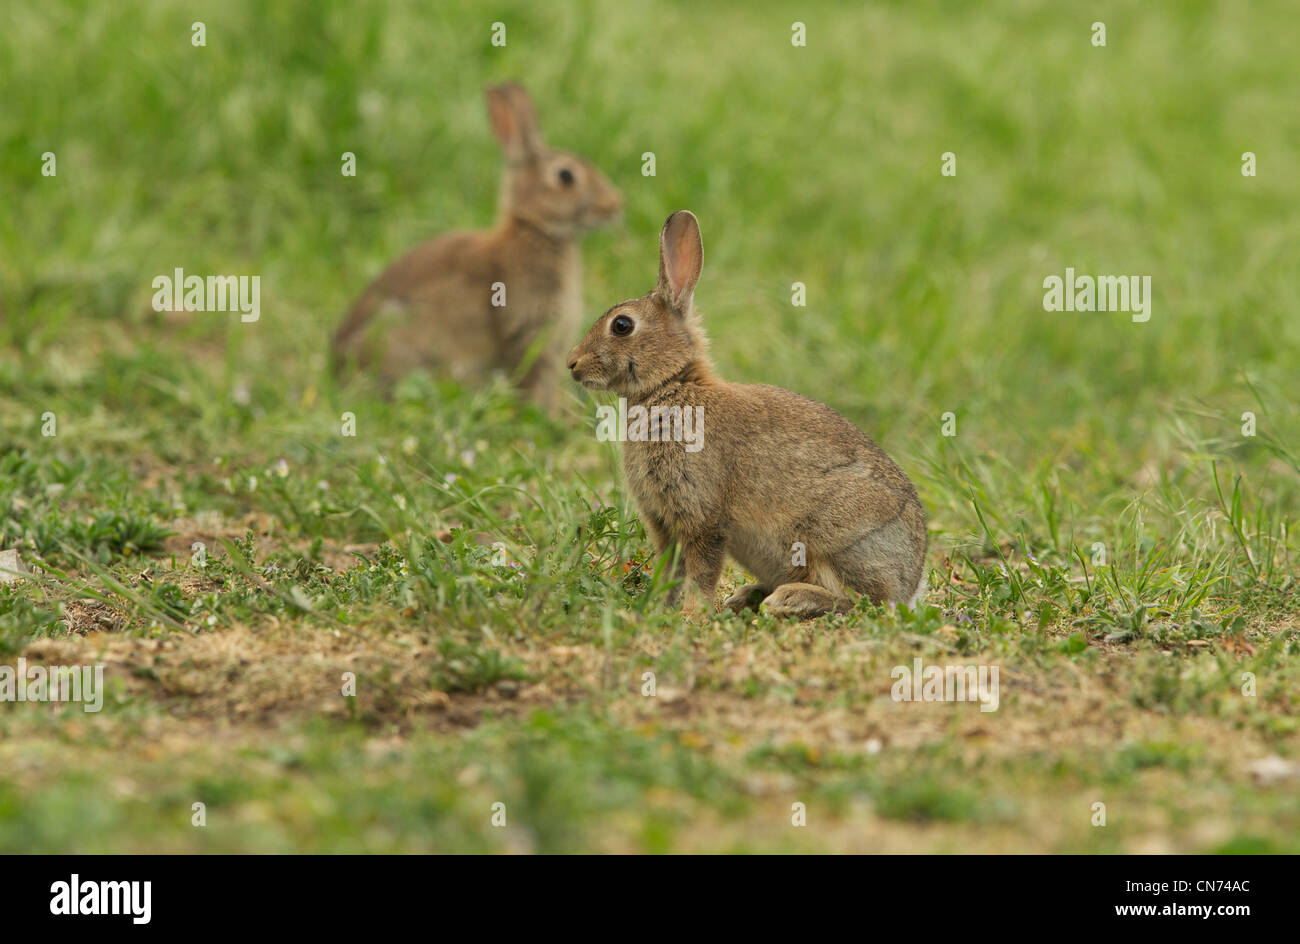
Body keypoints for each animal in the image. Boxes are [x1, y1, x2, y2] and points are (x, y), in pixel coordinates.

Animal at [569, 210, 925, 616]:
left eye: (622, 325)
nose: (572, 364)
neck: (671, 387)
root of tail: (912, 580)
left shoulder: (703, 516)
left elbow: (701, 570)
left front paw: (692, 614)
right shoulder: (662, 520)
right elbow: (669, 568)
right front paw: (657, 606)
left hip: (835, 539)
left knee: (859, 600)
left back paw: (789, 599)